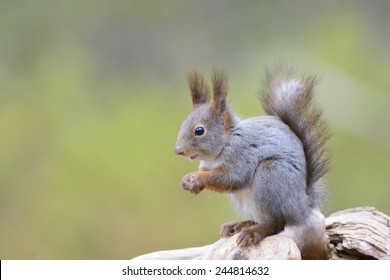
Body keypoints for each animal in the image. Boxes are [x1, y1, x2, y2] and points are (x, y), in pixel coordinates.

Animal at [175, 66, 330, 260]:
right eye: (182, 125)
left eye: (199, 130)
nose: (178, 150)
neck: (225, 143)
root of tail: (302, 205)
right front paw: (188, 181)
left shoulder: (241, 155)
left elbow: (228, 178)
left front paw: (197, 178)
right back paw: (239, 225)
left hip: (271, 176)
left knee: (276, 223)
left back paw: (253, 231)